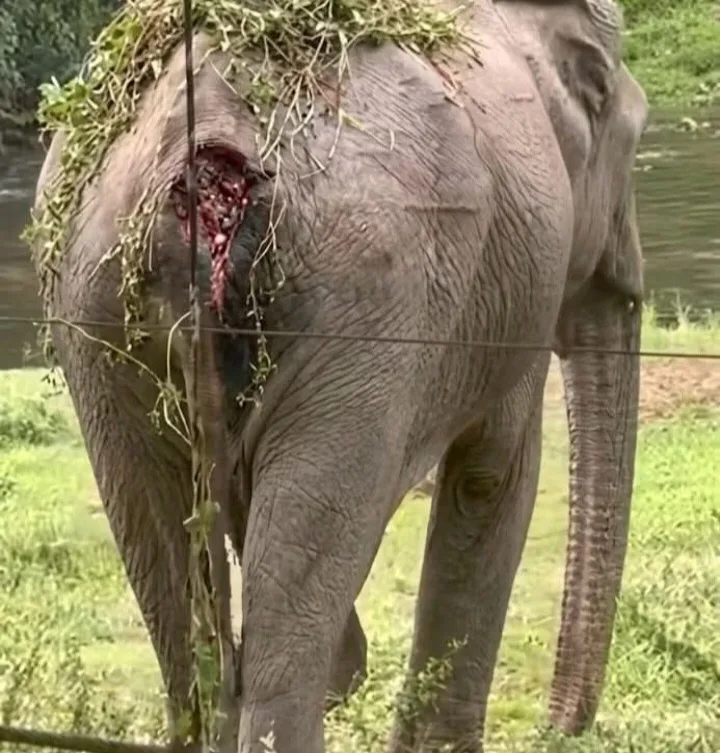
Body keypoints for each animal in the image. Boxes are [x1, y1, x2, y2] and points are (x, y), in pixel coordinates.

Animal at [30, 0, 648, 751]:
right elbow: (494, 472)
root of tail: (205, 152)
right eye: (633, 137)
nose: (554, 725)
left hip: (95, 311)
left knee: (167, 561)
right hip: (368, 303)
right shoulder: (522, 283)